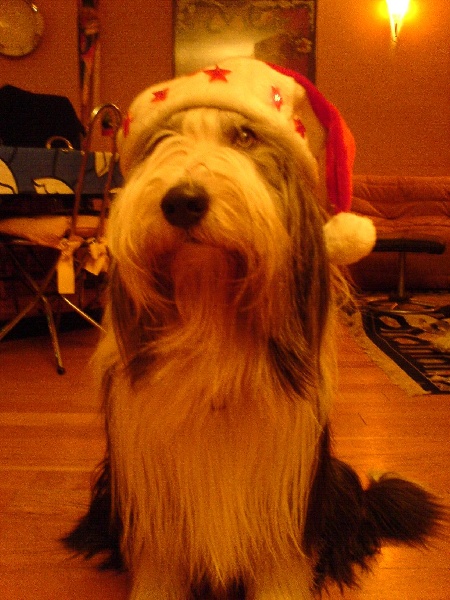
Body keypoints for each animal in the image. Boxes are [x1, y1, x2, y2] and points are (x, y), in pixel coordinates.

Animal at [64, 59, 444, 599]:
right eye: (161, 142)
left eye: (244, 136)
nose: (182, 202)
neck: (210, 314)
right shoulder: (156, 501)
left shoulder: (281, 504)